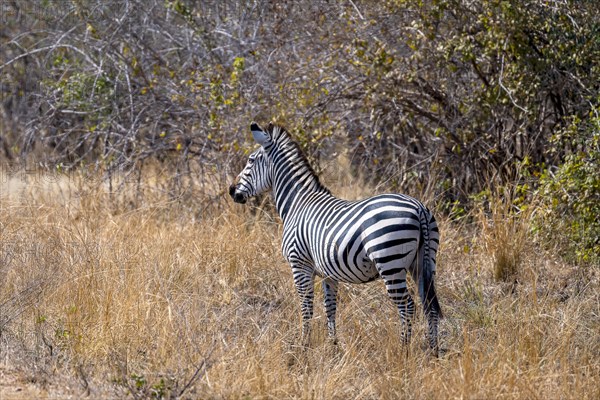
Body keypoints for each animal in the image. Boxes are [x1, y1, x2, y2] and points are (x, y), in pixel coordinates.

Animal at [229, 123, 440, 354]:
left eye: (250, 160)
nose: (231, 191)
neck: (297, 203)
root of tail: (418, 207)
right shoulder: (328, 273)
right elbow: (330, 308)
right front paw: (333, 346)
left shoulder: (299, 264)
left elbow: (306, 307)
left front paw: (303, 346)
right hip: (423, 262)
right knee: (430, 306)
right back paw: (434, 352)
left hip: (389, 261)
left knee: (407, 306)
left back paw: (403, 350)